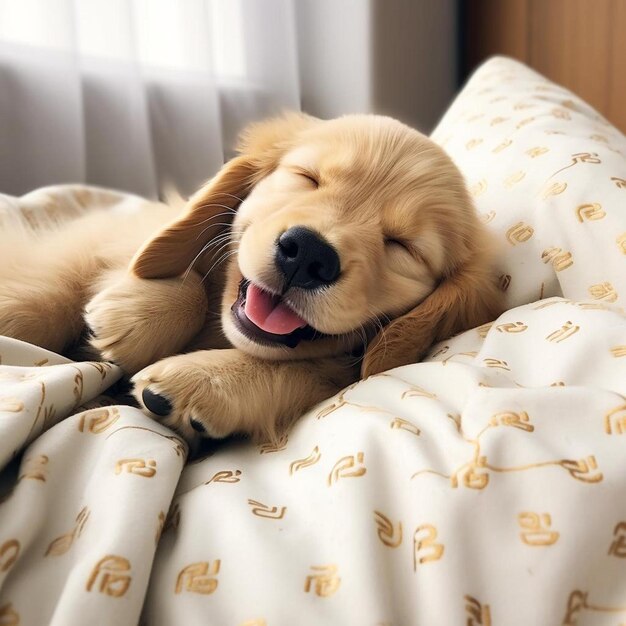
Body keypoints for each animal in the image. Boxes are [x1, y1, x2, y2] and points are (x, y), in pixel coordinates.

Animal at [0, 113, 502, 444]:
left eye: (403, 245)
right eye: (307, 178)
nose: (309, 255)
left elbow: (309, 369)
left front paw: (205, 381)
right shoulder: (103, 234)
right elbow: (58, 281)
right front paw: (134, 314)